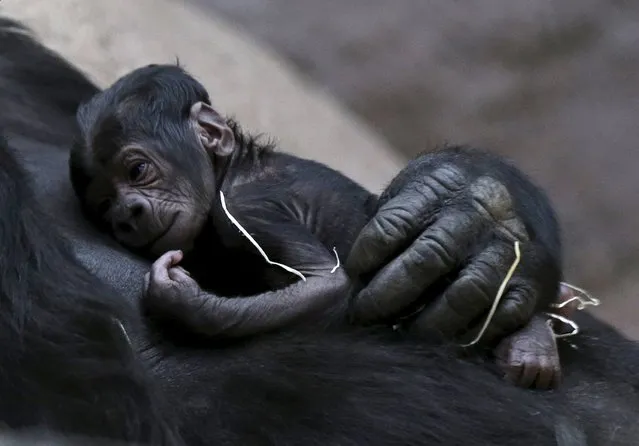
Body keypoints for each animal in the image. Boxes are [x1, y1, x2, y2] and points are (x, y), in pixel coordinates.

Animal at [69, 64, 560, 388]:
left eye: (137, 171)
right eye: (105, 207)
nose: (127, 214)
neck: (228, 171)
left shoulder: (249, 211)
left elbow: (328, 282)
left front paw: (180, 299)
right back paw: (534, 344)